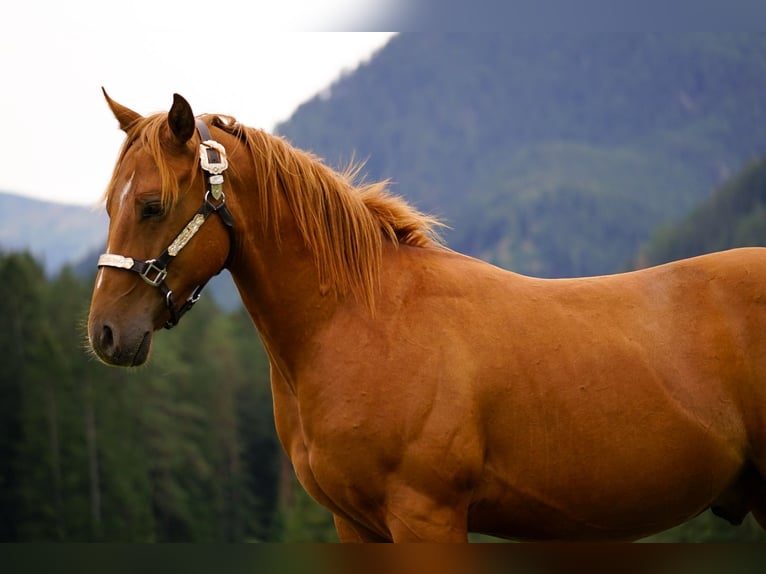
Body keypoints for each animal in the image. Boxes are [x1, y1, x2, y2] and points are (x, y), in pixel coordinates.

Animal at [87, 91, 766, 542]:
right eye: (109, 205)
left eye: (152, 205)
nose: (105, 333)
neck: (364, 321)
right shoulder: (356, 527)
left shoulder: (426, 518)